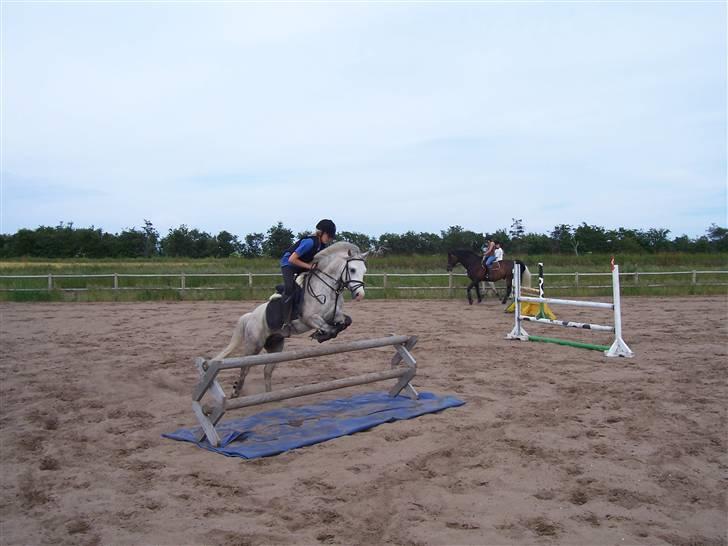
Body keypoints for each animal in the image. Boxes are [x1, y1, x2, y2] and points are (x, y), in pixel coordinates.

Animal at [213, 241, 366, 396]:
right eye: (352, 269)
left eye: (364, 271)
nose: (360, 295)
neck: (326, 288)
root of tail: (251, 316)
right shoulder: (310, 318)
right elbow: (330, 329)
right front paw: (321, 335)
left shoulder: (335, 315)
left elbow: (346, 322)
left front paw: (322, 334)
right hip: (254, 345)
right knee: (245, 368)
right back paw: (236, 391)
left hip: (275, 347)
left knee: (267, 370)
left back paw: (271, 396)